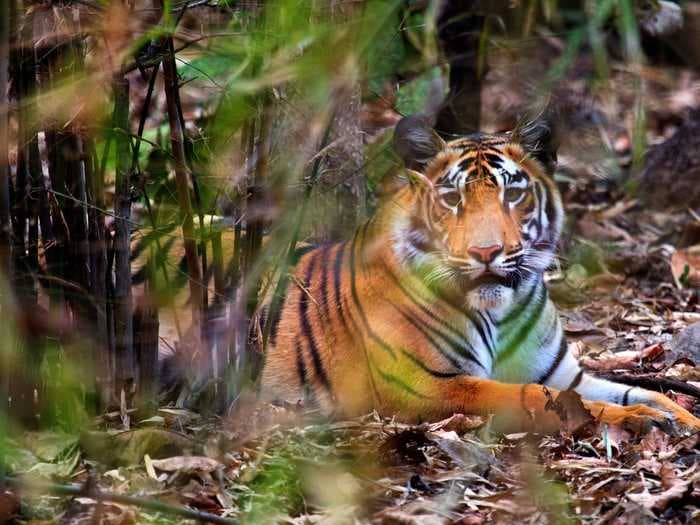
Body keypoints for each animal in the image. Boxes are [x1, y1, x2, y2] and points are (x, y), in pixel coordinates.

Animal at [258, 112, 700, 432]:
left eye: (513, 194)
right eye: (452, 199)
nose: (486, 251)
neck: (505, 310)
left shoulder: (563, 375)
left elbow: (644, 393)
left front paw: (680, 417)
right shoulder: (425, 385)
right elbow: (533, 396)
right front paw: (640, 421)